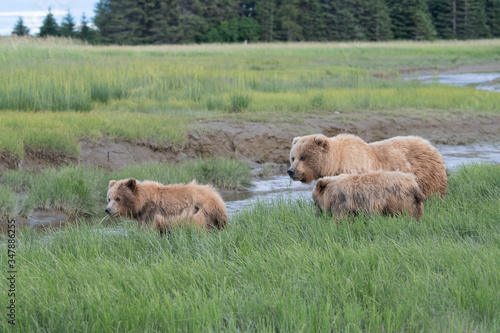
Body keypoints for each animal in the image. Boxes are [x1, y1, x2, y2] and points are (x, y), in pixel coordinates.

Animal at [288, 133, 448, 197]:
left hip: (427, 174)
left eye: (303, 157)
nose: (291, 171)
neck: (336, 162)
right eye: (293, 157)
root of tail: (429, 144)